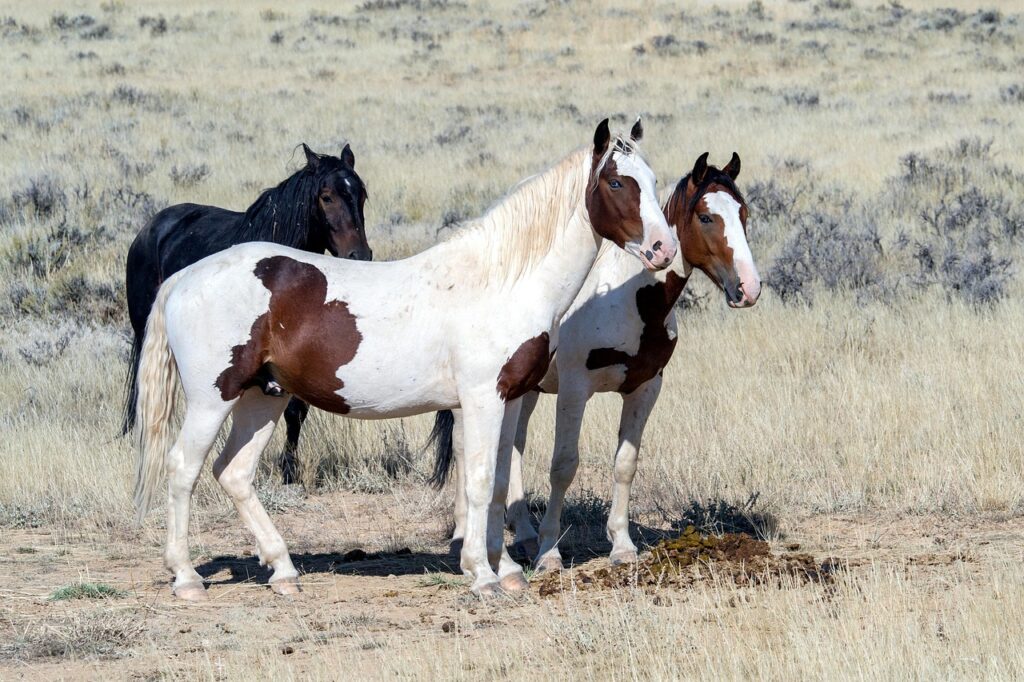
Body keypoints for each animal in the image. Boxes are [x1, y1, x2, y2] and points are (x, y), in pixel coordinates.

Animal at [122, 144, 370, 485]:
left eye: (362, 194)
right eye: (326, 196)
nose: (360, 255)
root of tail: (151, 228)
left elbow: (296, 411)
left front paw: (289, 471)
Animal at [433, 152, 760, 571]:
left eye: (743, 212)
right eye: (706, 217)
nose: (749, 288)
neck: (630, 300)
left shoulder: (645, 387)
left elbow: (625, 464)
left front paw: (621, 544)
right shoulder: (575, 390)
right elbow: (563, 466)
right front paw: (549, 551)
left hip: (526, 390)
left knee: (513, 447)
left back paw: (522, 534)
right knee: (464, 447)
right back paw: (465, 536)